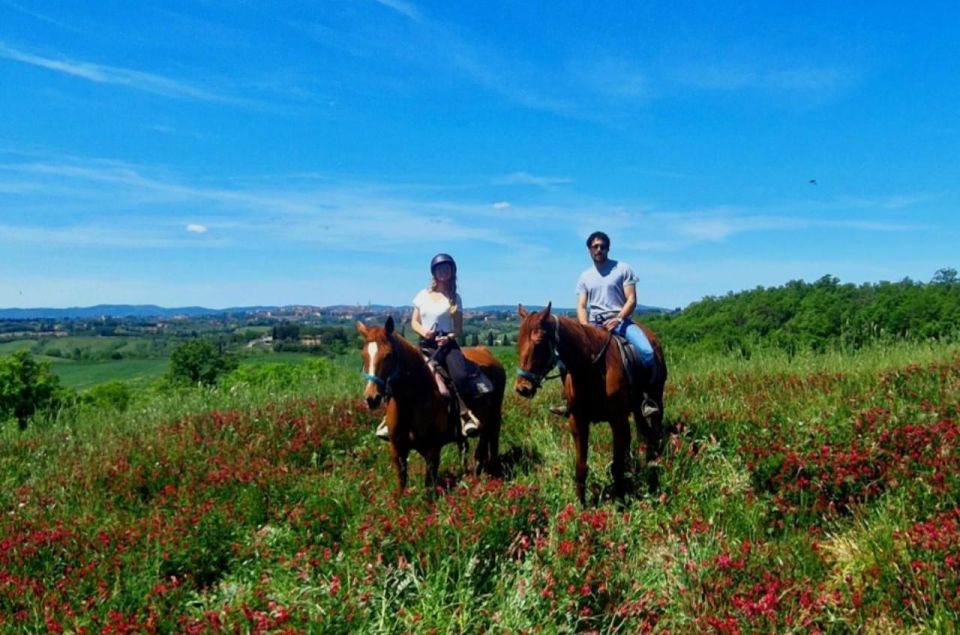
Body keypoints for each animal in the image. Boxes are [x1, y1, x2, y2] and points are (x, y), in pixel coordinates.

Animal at [356, 318, 510, 496]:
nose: (371, 398)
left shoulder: (432, 451)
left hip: (492, 418)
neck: (411, 400)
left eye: (388, 355)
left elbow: (429, 488)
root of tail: (488, 354)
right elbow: (401, 484)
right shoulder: (397, 450)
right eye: (363, 355)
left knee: (485, 447)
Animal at [516, 304, 668, 506]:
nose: (522, 388)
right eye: (518, 342)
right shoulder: (578, 422)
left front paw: (620, 501)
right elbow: (581, 466)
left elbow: (616, 466)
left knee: (655, 428)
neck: (591, 369)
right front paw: (581, 505)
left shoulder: (617, 420)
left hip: (656, 397)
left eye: (539, 341)